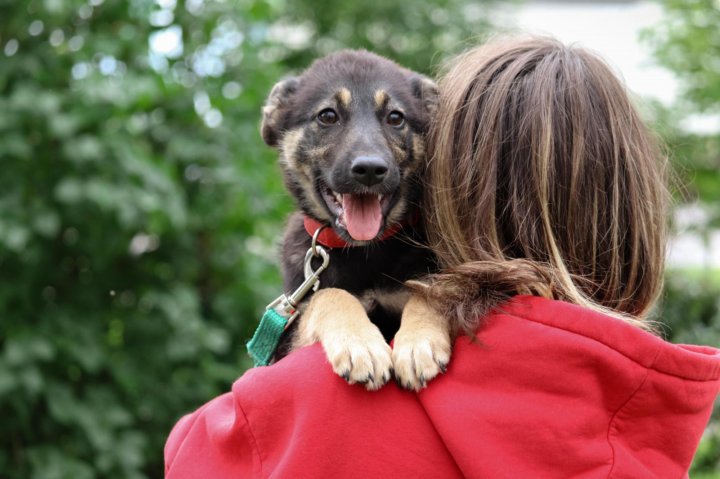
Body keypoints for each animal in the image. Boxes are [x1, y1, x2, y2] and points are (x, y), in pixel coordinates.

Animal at [258, 50, 450, 392]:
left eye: (395, 118)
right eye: (327, 116)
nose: (370, 170)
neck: (366, 251)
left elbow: (427, 290)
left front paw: (420, 342)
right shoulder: (292, 333)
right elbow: (330, 295)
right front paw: (360, 345)